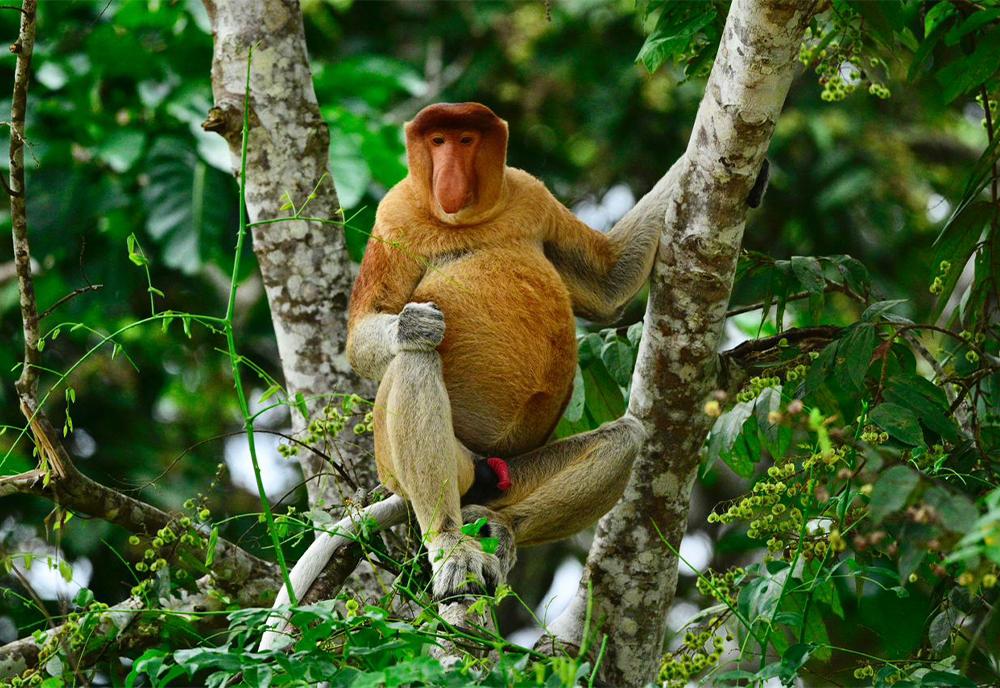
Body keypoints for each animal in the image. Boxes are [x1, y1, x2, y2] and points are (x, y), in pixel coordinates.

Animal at [348, 102, 660, 596]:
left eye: (466, 140)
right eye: (437, 141)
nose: (449, 176)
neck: (468, 220)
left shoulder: (531, 194)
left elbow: (610, 281)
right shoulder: (394, 214)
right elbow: (363, 330)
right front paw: (413, 324)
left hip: (514, 474)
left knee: (625, 439)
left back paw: (501, 528)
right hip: (401, 464)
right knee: (417, 361)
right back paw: (450, 544)